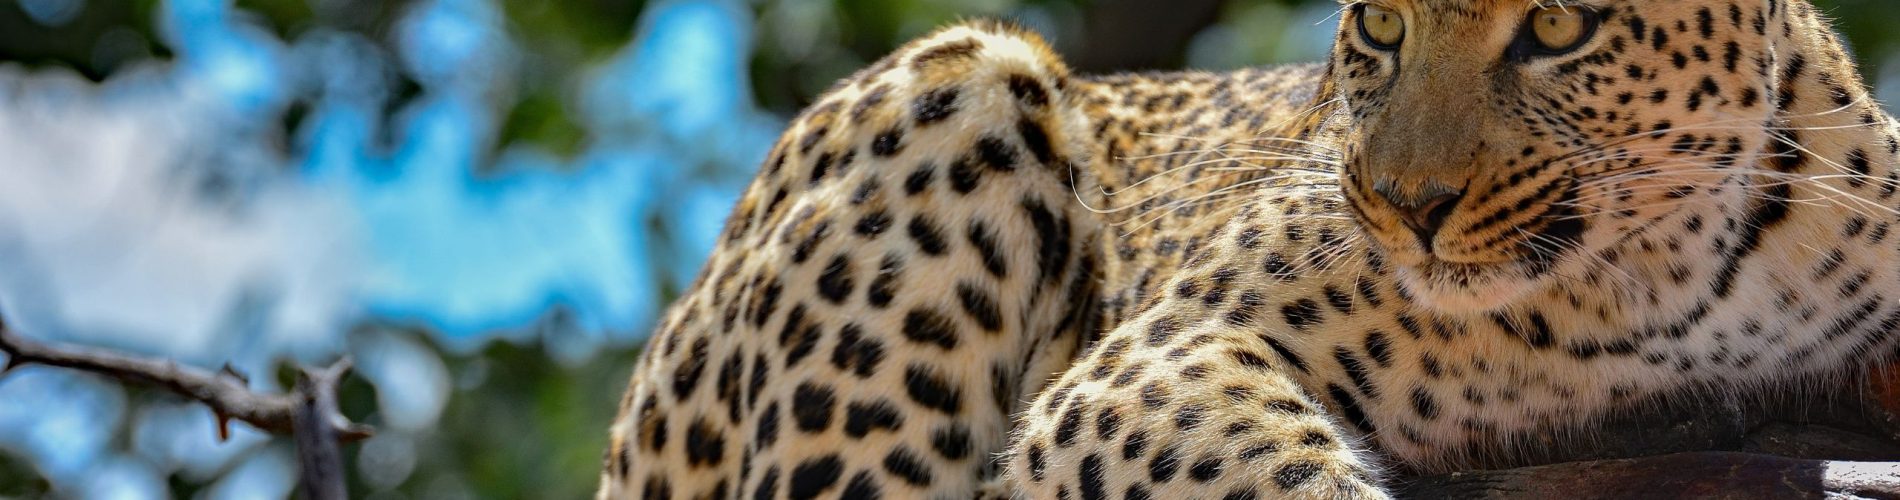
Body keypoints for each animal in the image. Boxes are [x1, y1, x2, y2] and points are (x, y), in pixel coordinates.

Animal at [599, 0, 1900, 498]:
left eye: (1558, 26)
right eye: (1383, 24)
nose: (1405, 202)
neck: (1668, 278)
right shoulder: (1157, 355)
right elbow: (1285, 470)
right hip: (963, 75)